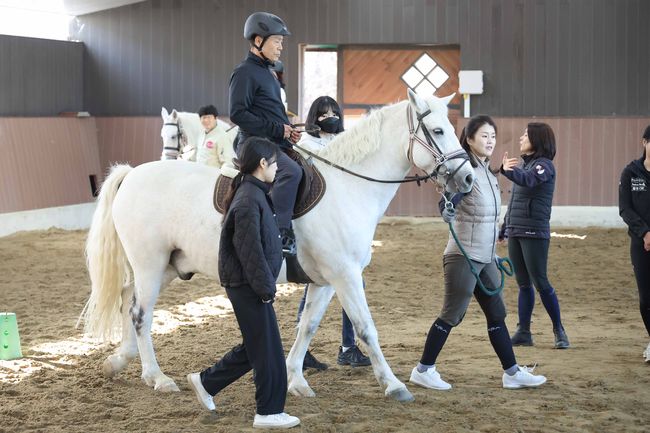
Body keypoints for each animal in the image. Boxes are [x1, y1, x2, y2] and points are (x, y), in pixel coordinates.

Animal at [83, 90, 474, 402]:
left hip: (167, 266)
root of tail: (133, 174)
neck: (348, 186)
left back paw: (120, 362)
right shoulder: (345, 275)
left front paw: (296, 379)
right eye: (438, 130)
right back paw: (157, 377)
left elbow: (307, 326)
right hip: (150, 264)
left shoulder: (326, 281)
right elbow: (365, 327)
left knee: (127, 301)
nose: (468, 177)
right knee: (140, 313)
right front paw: (393, 385)